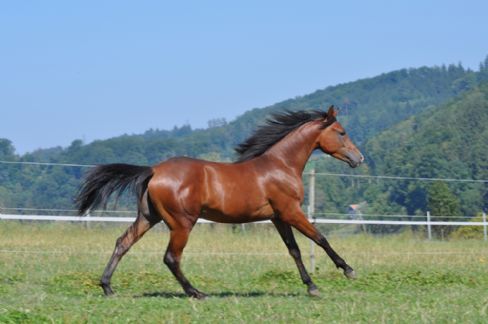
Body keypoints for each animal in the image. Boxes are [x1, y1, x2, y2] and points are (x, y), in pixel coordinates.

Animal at [75, 105, 362, 298]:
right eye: (341, 132)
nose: (358, 158)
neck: (281, 165)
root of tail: (154, 170)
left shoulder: (278, 217)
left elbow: (295, 250)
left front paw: (311, 286)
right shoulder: (291, 212)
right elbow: (320, 238)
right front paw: (348, 270)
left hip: (148, 217)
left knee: (123, 243)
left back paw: (108, 287)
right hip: (182, 223)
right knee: (171, 257)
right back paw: (196, 292)